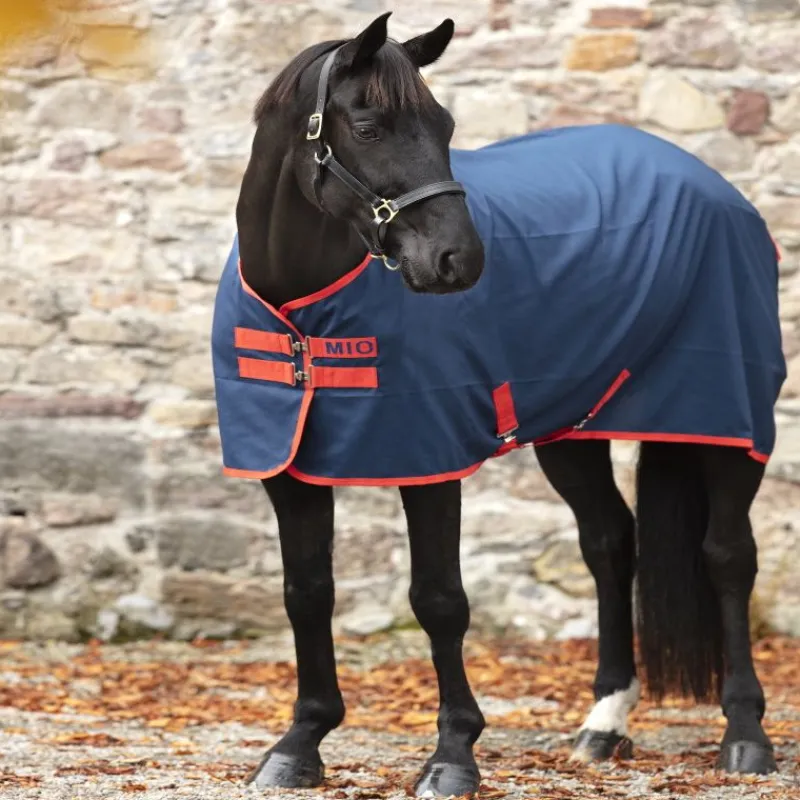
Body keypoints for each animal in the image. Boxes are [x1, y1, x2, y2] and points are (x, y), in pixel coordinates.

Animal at [211, 12, 786, 797]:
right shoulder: (285, 467)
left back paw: (746, 733)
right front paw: (301, 742)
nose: (458, 261)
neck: (301, 311)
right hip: (573, 431)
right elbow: (307, 592)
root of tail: (715, 187)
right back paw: (605, 722)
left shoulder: (429, 459)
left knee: (728, 557)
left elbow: (438, 600)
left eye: (446, 124)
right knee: (610, 542)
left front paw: (453, 753)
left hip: (726, 418)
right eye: (367, 125)